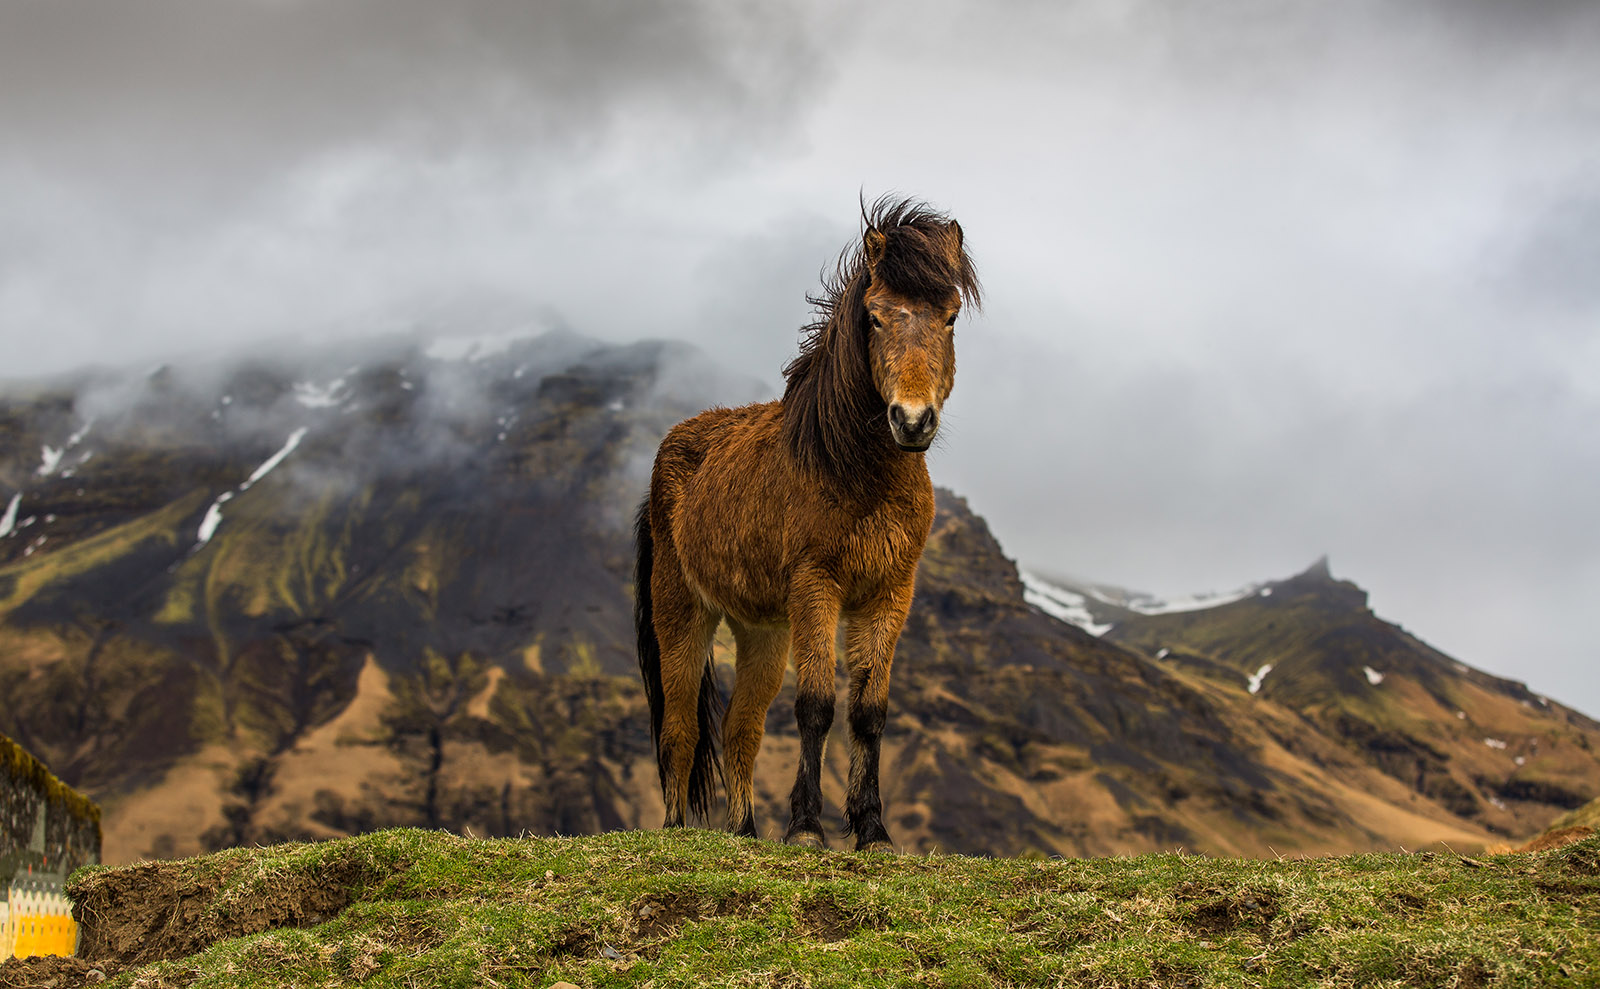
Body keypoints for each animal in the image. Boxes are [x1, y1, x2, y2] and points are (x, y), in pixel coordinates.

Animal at [634, 196, 980, 850]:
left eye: (949, 318)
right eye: (875, 318)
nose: (912, 420)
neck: (849, 468)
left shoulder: (889, 594)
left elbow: (869, 712)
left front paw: (872, 829)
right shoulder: (816, 586)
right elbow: (816, 704)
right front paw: (806, 827)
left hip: (762, 632)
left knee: (740, 729)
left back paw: (744, 833)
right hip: (683, 611)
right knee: (679, 729)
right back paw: (676, 830)